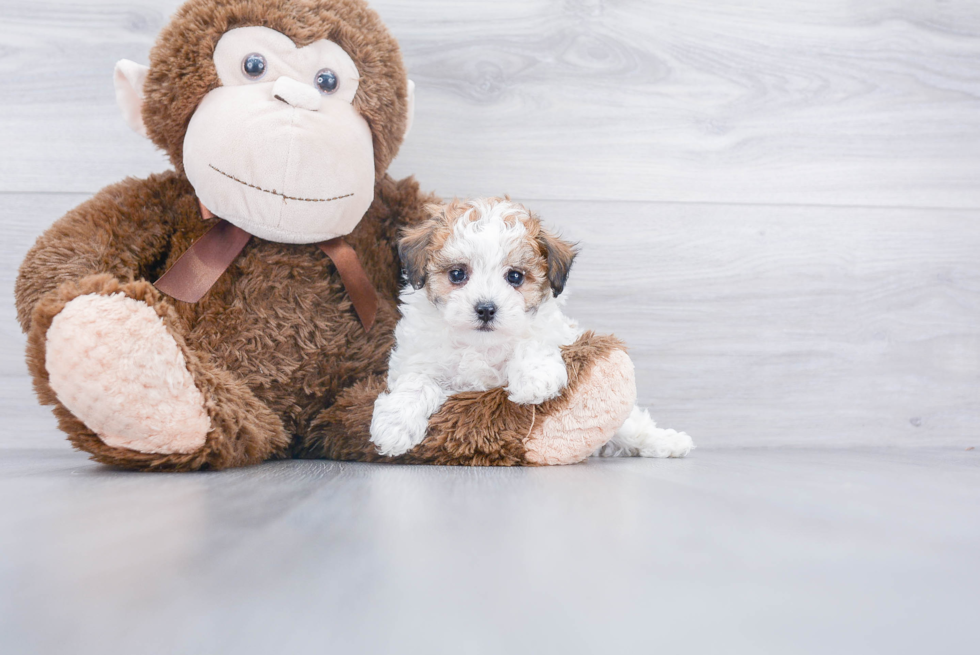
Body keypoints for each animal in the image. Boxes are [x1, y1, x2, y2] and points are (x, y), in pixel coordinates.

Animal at [370, 197, 696, 458]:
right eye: (457, 274)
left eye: (515, 276)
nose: (486, 309)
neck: (480, 345)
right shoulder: (417, 359)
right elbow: (415, 384)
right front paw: (394, 426)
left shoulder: (556, 331)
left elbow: (533, 339)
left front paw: (535, 379)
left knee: (631, 425)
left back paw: (667, 442)